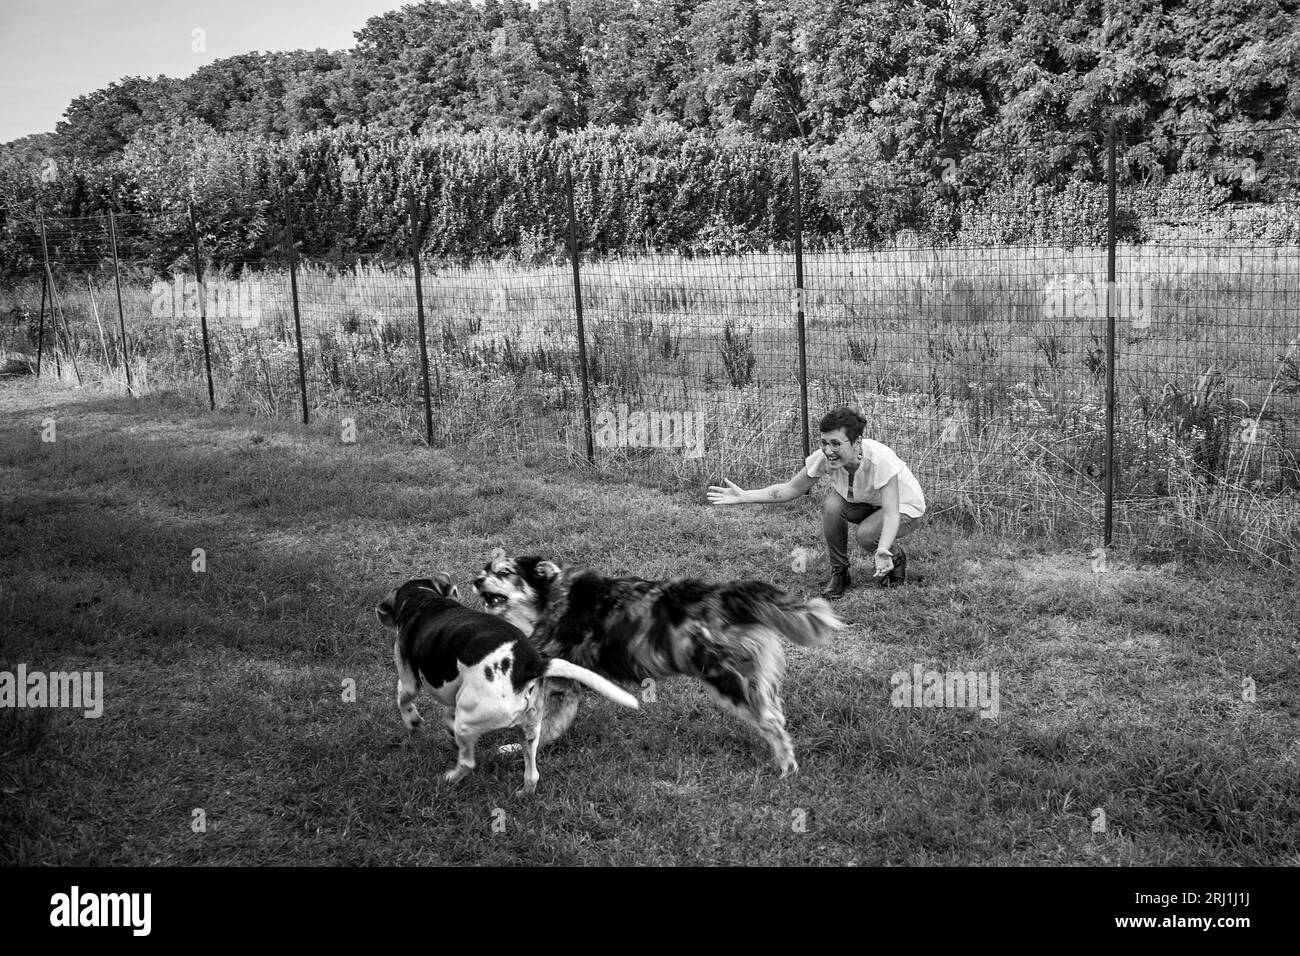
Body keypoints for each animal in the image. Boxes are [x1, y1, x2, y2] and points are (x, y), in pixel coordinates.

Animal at [377, 574, 639, 790]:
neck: (423, 599)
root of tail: (530, 665)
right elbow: (446, 713)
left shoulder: (409, 679)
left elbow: (403, 698)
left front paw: (413, 723)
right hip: (531, 729)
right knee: (532, 775)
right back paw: (523, 793)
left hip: (469, 722)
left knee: (468, 762)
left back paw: (450, 777)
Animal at [473, 556, 847, 775]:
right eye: (487, 569)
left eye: (504, 572)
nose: (476, 580)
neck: (553, 597)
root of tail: (726, 596)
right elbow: (549, 725)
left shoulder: (561, 682)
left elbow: (543, 724)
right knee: (774, 713)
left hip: (727, 680)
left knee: (771, 723)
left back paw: (786, 767)